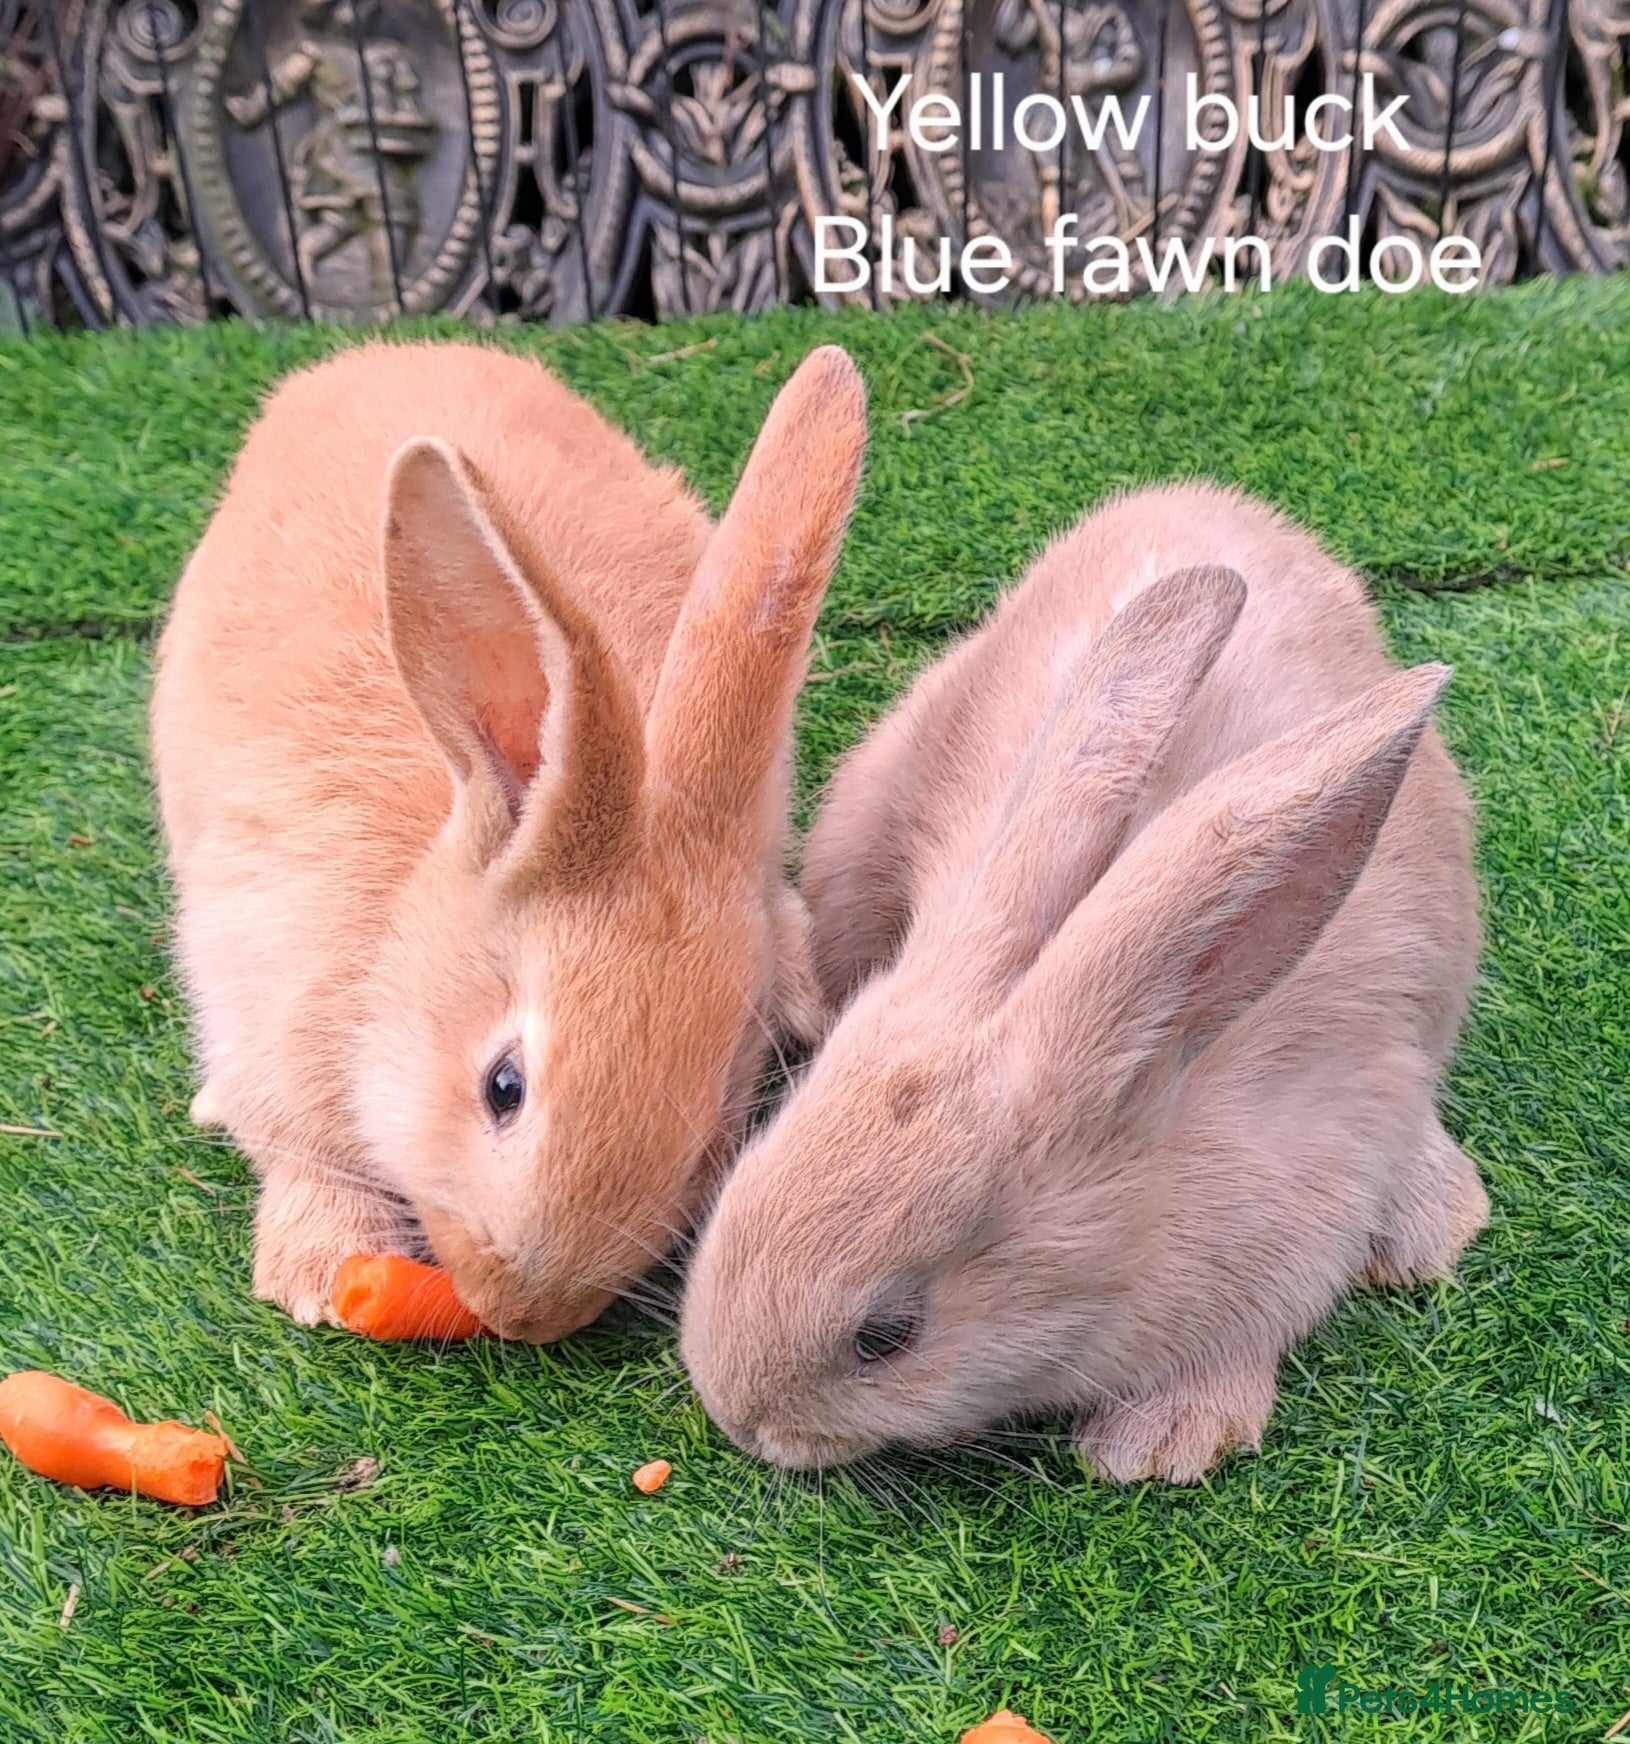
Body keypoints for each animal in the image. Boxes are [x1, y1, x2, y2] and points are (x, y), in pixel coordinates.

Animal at [150, 339, 866, 1340]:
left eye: (710, 1138)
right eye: (504, 1087)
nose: (524, 1313)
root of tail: (367, 359)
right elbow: (300, 1151)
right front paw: (320, 1276)